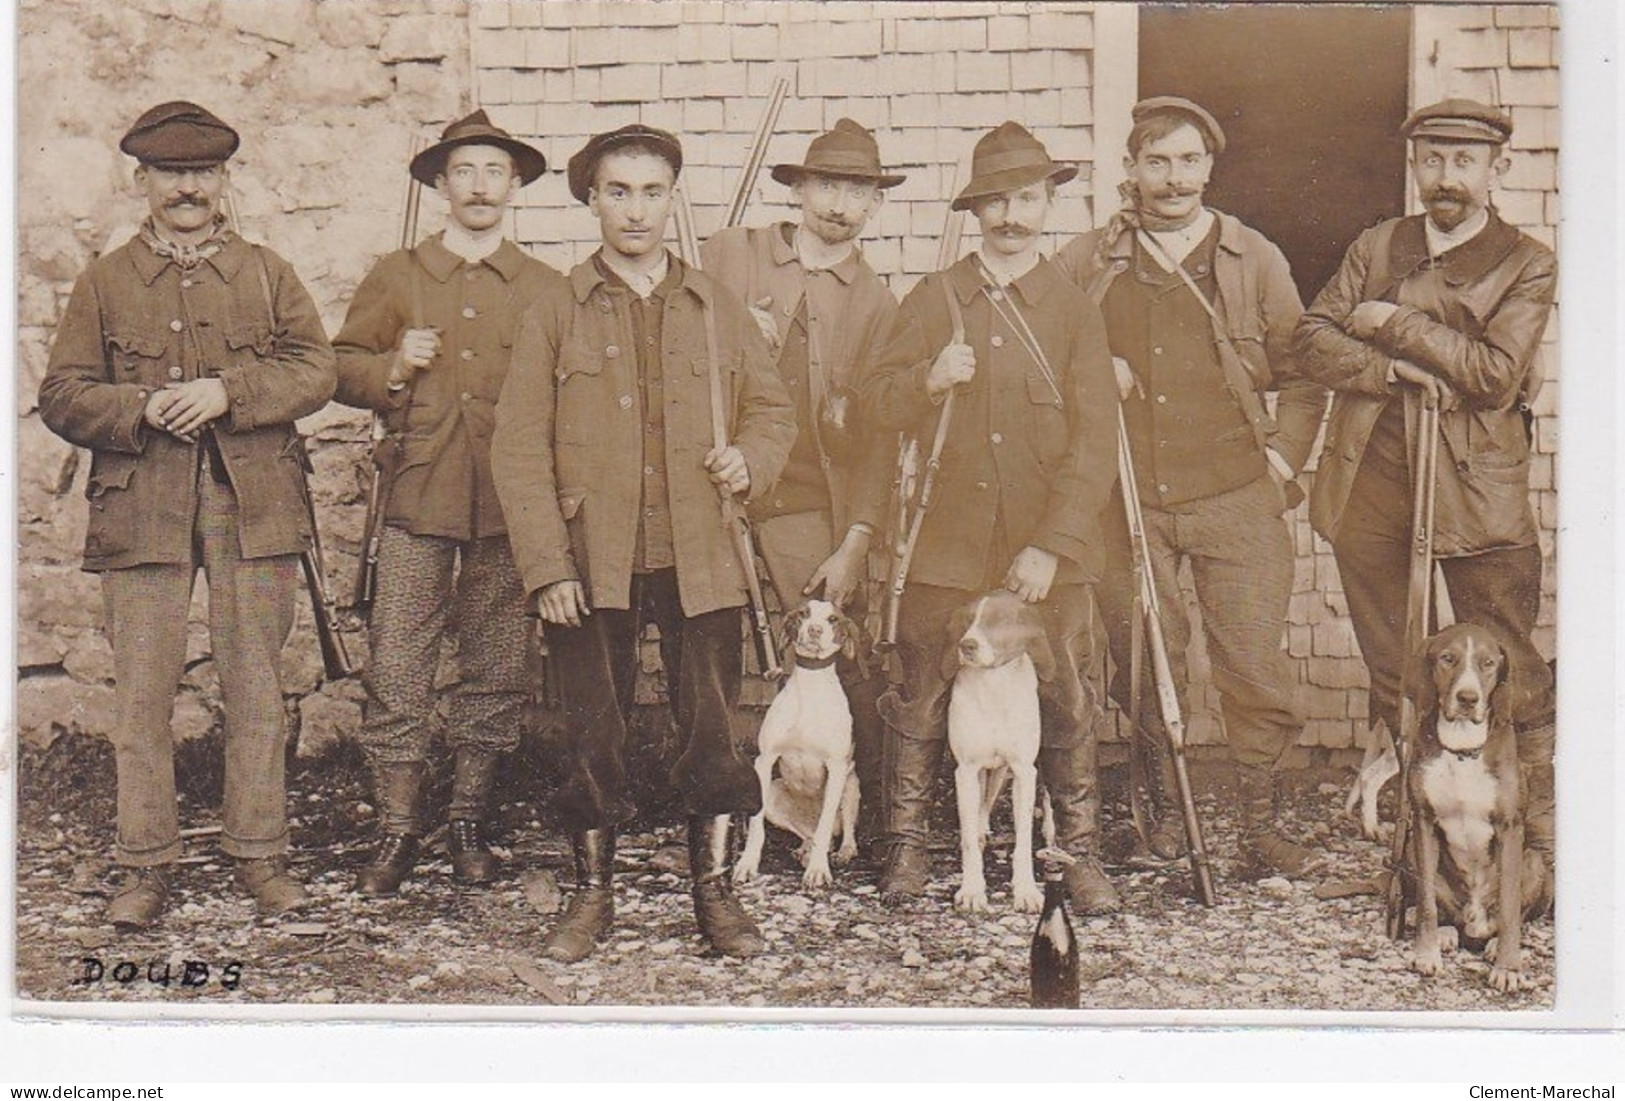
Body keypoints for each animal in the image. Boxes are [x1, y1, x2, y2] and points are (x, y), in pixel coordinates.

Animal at [737, 600, 864, 889]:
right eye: (804, 613)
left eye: (833, 619)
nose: (815, 629)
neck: (811, 685)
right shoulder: (764, 761)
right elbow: (756, 827)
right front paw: (747, 865)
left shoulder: (837, 768)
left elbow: (826, 826)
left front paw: (818, 870)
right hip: (774, 794)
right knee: (811, 835)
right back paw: (804, 850)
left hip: (851, 786)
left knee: (840, 832)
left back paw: (843, 851)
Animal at [942, 591, 1053, 915]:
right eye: (967, 621)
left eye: (999, 621)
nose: (966, 645)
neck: (994, 687)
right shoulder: (966, 771)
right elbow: (968, 838)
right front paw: (972, 890)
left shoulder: (1024, 771)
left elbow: (1024, 839)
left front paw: (1026, 890)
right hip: (985, 771)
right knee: (981, 806)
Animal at [1410, 626, 1547, 993]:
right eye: (1447, 658)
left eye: (1488, 663)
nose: (1468, 698)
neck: (1462, 748)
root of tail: (1475, 922)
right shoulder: (1423, 821)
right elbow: (1426, 903)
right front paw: (1427, 953)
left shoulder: (1510, 827)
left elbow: (1511, 909)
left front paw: (1508, 967)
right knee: (1443, 912)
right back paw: (1446, 934)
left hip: (1534, 860)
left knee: (1512, 916)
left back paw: (1496, 945)